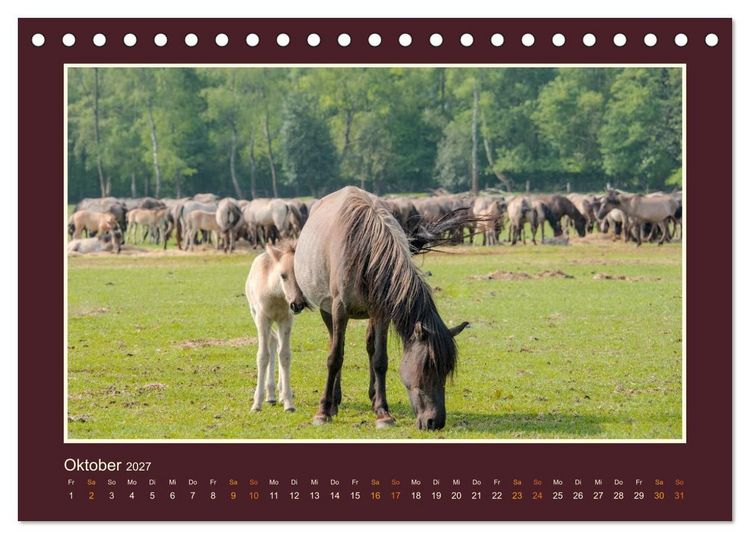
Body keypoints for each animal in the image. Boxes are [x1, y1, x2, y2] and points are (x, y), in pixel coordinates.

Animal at [245, 241, 308, 412]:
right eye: (283, 275)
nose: (297, 305)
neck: (276, 295)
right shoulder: (262, 318)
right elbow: (262, 356)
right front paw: (256, 404)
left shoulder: (286, 319)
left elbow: (285, 355)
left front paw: (288, 402)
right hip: (255, 314)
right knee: (272, 343)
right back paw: (270, 395)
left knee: (277, 344)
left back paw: (277, 394)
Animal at [294, 186, 469, 430]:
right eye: (427, 367)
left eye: (446, 370)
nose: (435, 422)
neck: (365, 250)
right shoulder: (339, 309)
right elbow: (335, 357)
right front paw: (323, 412)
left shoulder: (382, 312)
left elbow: (380, 360)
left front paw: (383, 412)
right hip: (326, 309)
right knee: (334, 345)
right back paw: (334, 401)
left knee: (369, 346)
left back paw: (372, 397)